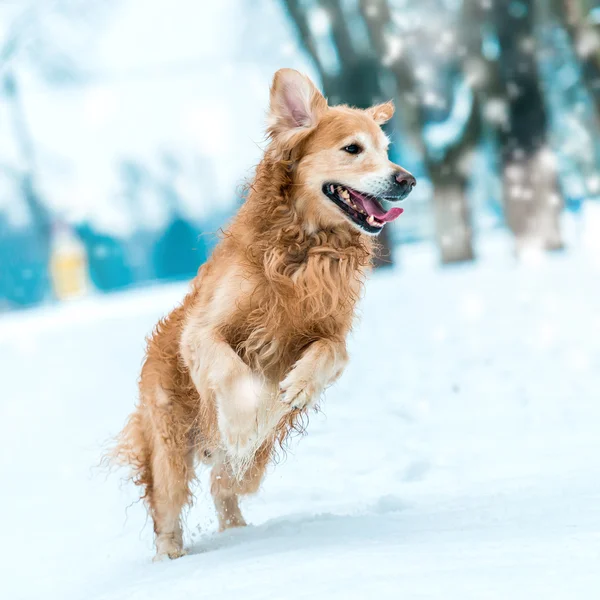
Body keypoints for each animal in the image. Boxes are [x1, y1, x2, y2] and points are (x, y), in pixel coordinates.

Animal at [111, 68, 412, 560]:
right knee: (167, 511)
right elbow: (232, 371)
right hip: (169, 445)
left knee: (224, 485)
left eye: (386, 149)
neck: (306, 247)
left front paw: (297, 387)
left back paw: (237, 534)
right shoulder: (201, 332)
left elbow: (331, 351)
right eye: (353, 149)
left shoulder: (332, 331)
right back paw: (172, 558)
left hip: (252, 467)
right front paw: (241, 418)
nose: (407, 180)